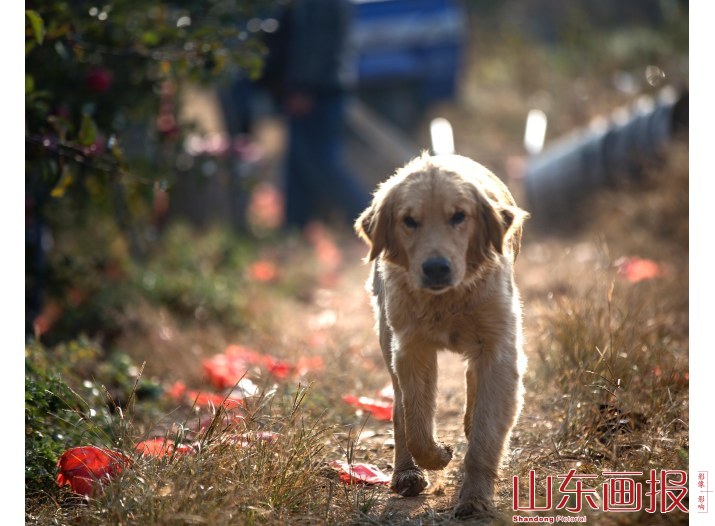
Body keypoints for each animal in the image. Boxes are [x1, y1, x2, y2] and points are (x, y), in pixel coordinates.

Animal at [356, 152, 528, 520]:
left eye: (459, 216)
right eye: (409, 221)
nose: (436, 268)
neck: (447, 300)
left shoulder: (499, 347)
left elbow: (486, 435)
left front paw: (475, 498)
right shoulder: (411, 347)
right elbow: (417, 424)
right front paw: (439, 455)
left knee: (472, 382)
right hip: (386, 335)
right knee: (399, 408)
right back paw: (406, 473)